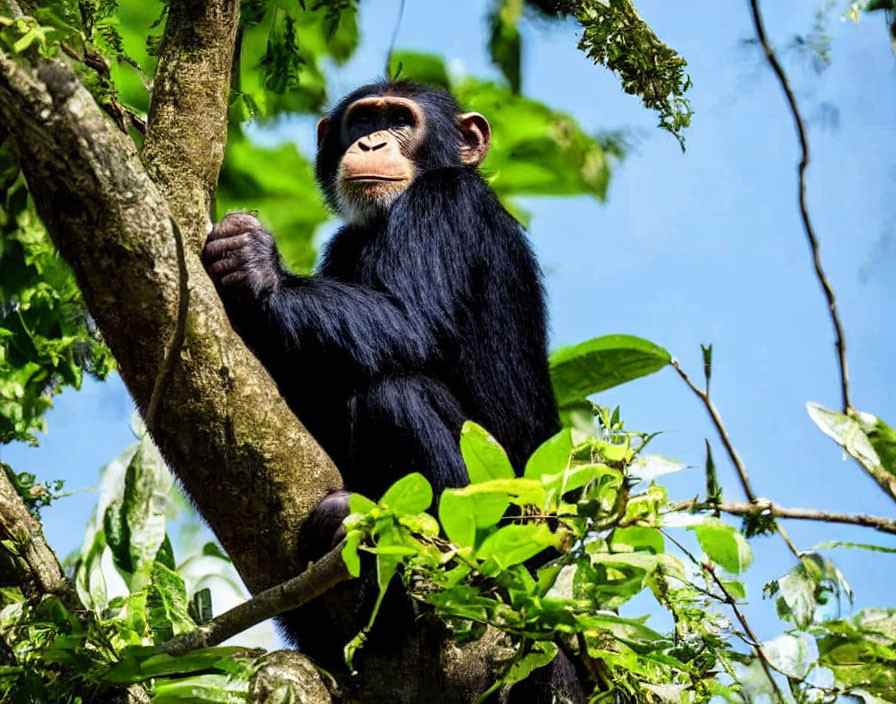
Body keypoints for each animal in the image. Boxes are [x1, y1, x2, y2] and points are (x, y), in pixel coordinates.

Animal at [202, 82, 576, 700]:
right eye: (363, 120)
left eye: (400, 120)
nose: (373, 140)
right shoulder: (343, 245)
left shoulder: (445, 204)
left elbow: (408, 322)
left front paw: (256, 266)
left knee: (394, 398)